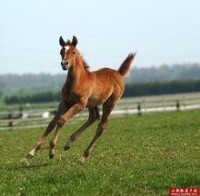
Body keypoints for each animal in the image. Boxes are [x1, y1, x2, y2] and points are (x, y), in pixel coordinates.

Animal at [27, 35, 136, 164]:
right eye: (61, 52)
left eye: (73, 52)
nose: (64, 64)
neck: (78, 81)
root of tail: (118, 73)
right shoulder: (64, 103)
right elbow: (52, 123)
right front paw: (32, 151)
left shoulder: (79, 104)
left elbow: (61, 120)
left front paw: (52, 151)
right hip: (92, 104)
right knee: (93, 117)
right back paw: (69, 143)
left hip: (110, 103)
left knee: (101, 126)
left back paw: (83, 156)